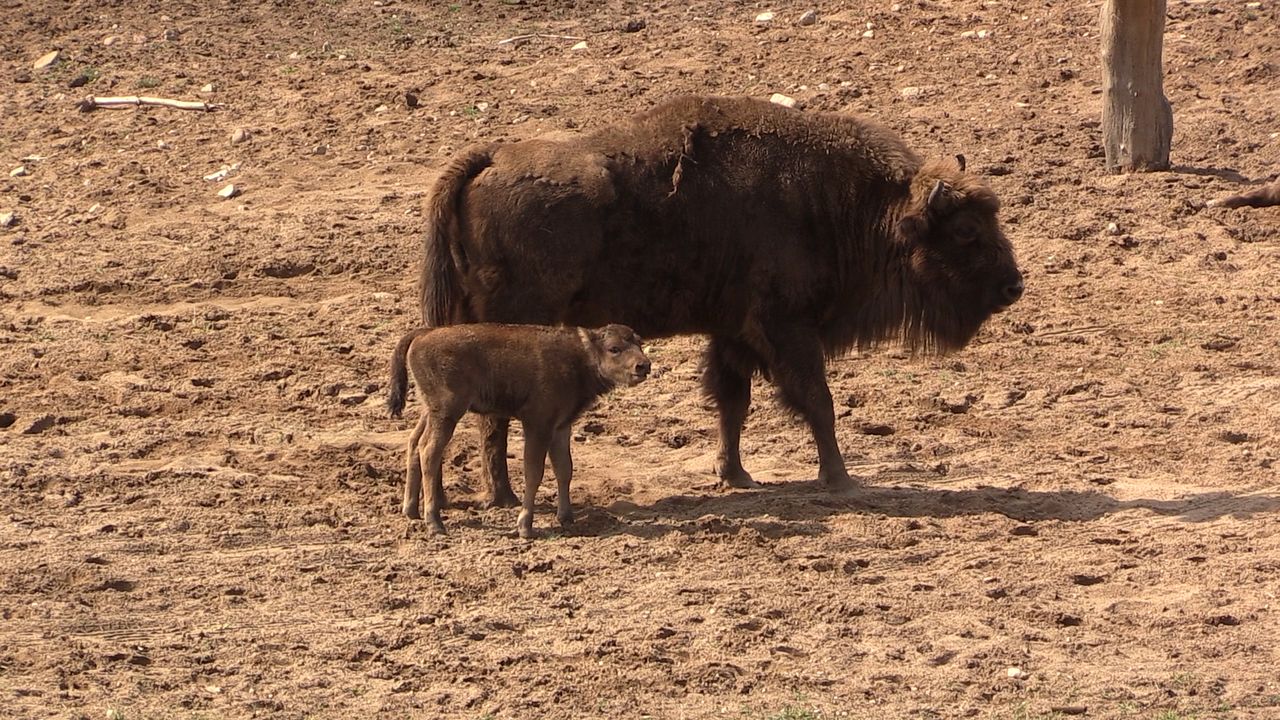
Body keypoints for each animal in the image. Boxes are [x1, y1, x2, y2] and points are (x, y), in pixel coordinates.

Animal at [386, 322, 650, 535]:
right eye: (614, 348)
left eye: (639, 342)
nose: (643, 365)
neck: (579, 357)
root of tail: (423, 334)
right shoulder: (538, 425)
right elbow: (534, 472)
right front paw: (525, 526)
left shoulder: (561, 426)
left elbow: (564, 469)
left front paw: (566, 517)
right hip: (447, 412)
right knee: (429, 451)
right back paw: (434, 523)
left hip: (430, 411)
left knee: (414, 442)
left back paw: (410, 511)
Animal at [414, 92, 1024, 502]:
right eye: (966, 230)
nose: (1013, 286)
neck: (854, 204)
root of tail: (489, 160)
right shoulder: (787, 329)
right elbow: (817, 401)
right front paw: (840, 479)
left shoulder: (732, 334)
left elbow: (734, 403)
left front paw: (735, 475)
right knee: (494, 416)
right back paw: (504, 497)